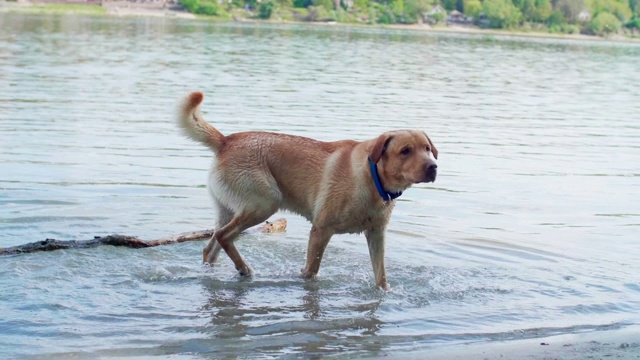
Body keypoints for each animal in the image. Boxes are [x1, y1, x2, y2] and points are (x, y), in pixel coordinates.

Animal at [178, 91, 438, 288]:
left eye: (427, 148)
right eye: (405, 150)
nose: (433, 167)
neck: (372, 179)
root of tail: (226, 140)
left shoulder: (376, 234)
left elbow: (381, 275)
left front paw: (384, 292)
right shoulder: (320, 230)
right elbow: (311, 272)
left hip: (230, 210)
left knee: (211, 247)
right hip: (265, 203)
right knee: (224, 236)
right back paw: (245, 269)